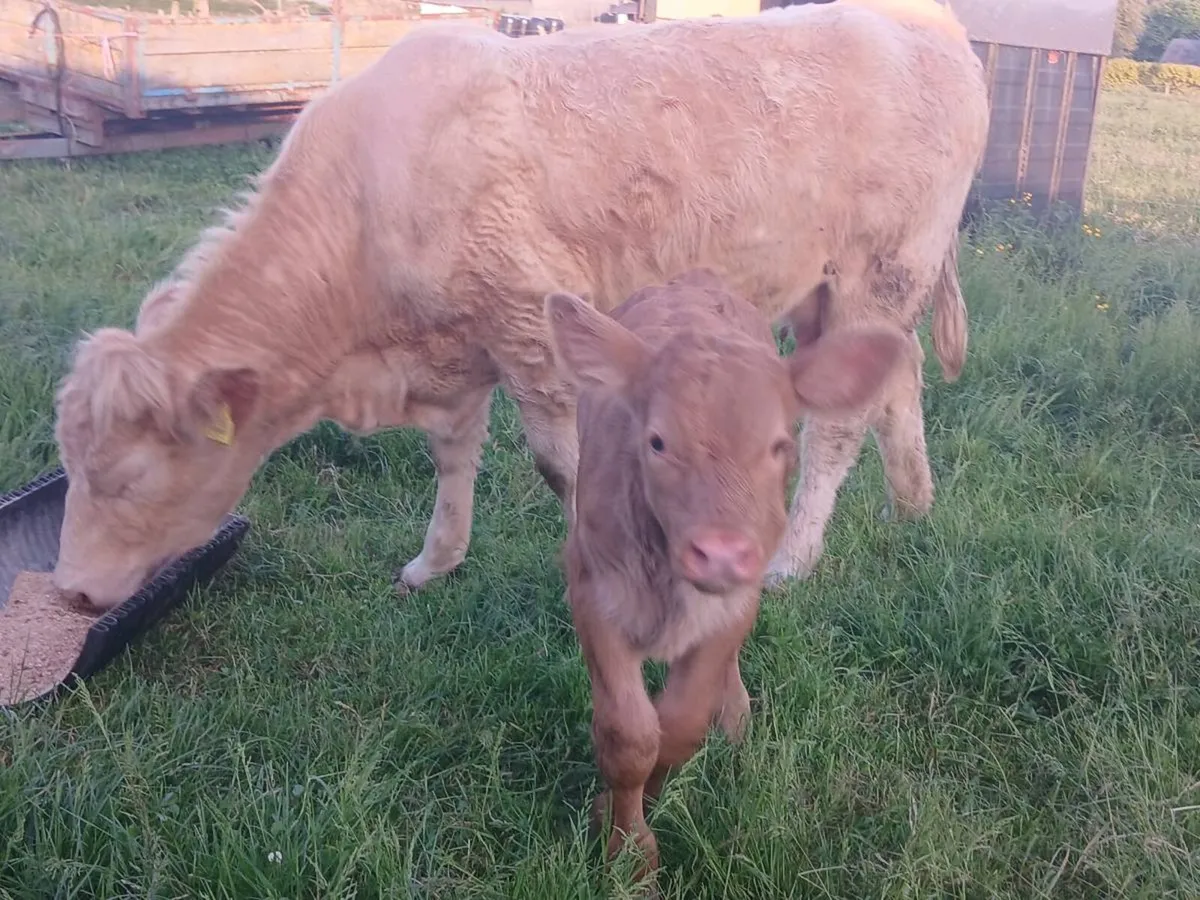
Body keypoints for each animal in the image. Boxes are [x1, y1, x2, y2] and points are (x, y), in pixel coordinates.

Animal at [50, 0, 988, 609]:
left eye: (127, 479)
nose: (67, 593)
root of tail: (930, 23)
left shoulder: (534, 322)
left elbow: (559, 463)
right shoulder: (459, 343)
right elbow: (452, 455)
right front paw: (435, 562)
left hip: (881, 270)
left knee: (837, 428)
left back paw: (795, 557)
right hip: (833, 290)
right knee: (896, 384)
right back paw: (915, 505)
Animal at [545, 268, 905, 882]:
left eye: (780, 444)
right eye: (657, 441)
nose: (721, 553)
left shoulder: (735, 602)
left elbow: (679, 727)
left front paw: (634, 809)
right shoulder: (592, 587)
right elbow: (629, 735)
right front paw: (627, 849)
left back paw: (734, 713)